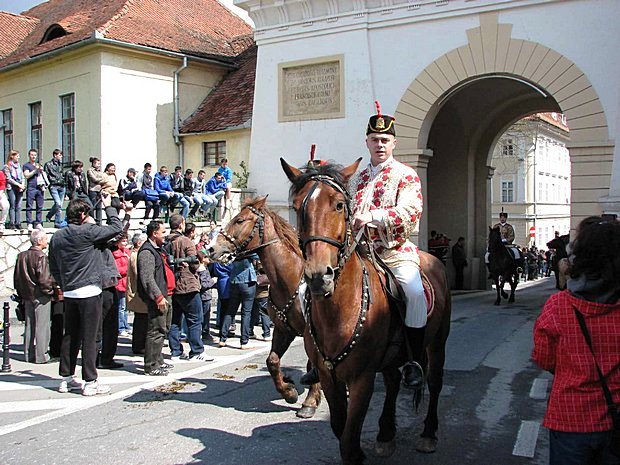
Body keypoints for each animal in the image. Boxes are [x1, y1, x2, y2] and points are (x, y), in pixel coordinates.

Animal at [209, 196, 324, 416]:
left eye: (240, 220)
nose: (211, 248)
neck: (288, 280)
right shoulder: (282, 329)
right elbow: (272, 361)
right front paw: (289, 391)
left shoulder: (311, 333)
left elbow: (314, 362)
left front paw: (310, 401)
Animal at [282, 159, 450, 464]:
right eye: (298, 206)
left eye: (339, 205)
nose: (318, 276)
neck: (338, 311)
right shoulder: (329, 377)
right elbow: (341, 427)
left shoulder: (362, 378)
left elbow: (349, 436)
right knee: (393, 382)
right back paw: (386, 434)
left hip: (437, 343)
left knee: (434, 382)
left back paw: (428, 434)